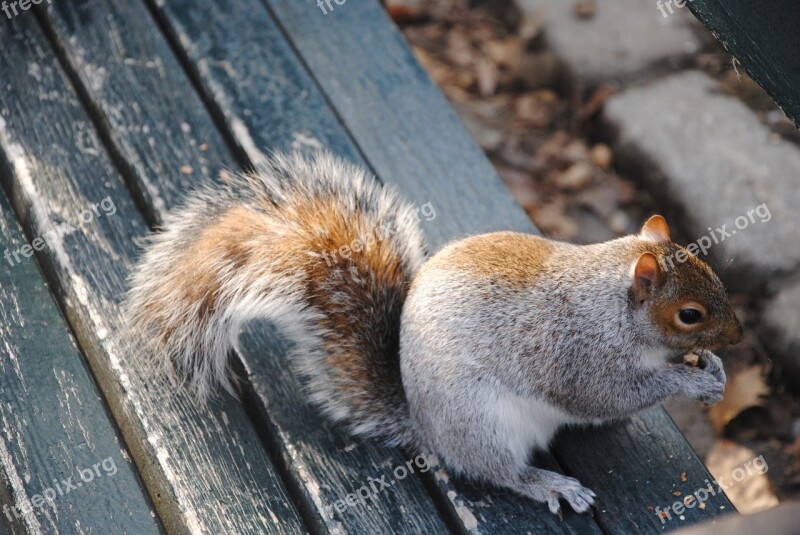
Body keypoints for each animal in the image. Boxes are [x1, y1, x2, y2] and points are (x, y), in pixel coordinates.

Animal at [125, 152, 744, 520]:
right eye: (689, 314)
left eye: (714, 276)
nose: (737, 335)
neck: (611, 308)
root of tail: (424, 425)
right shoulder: (576, 352)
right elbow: (607, 392)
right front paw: (688, 383)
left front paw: (710, 371)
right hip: (484, 422)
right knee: (498, 471)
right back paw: (548, 483)